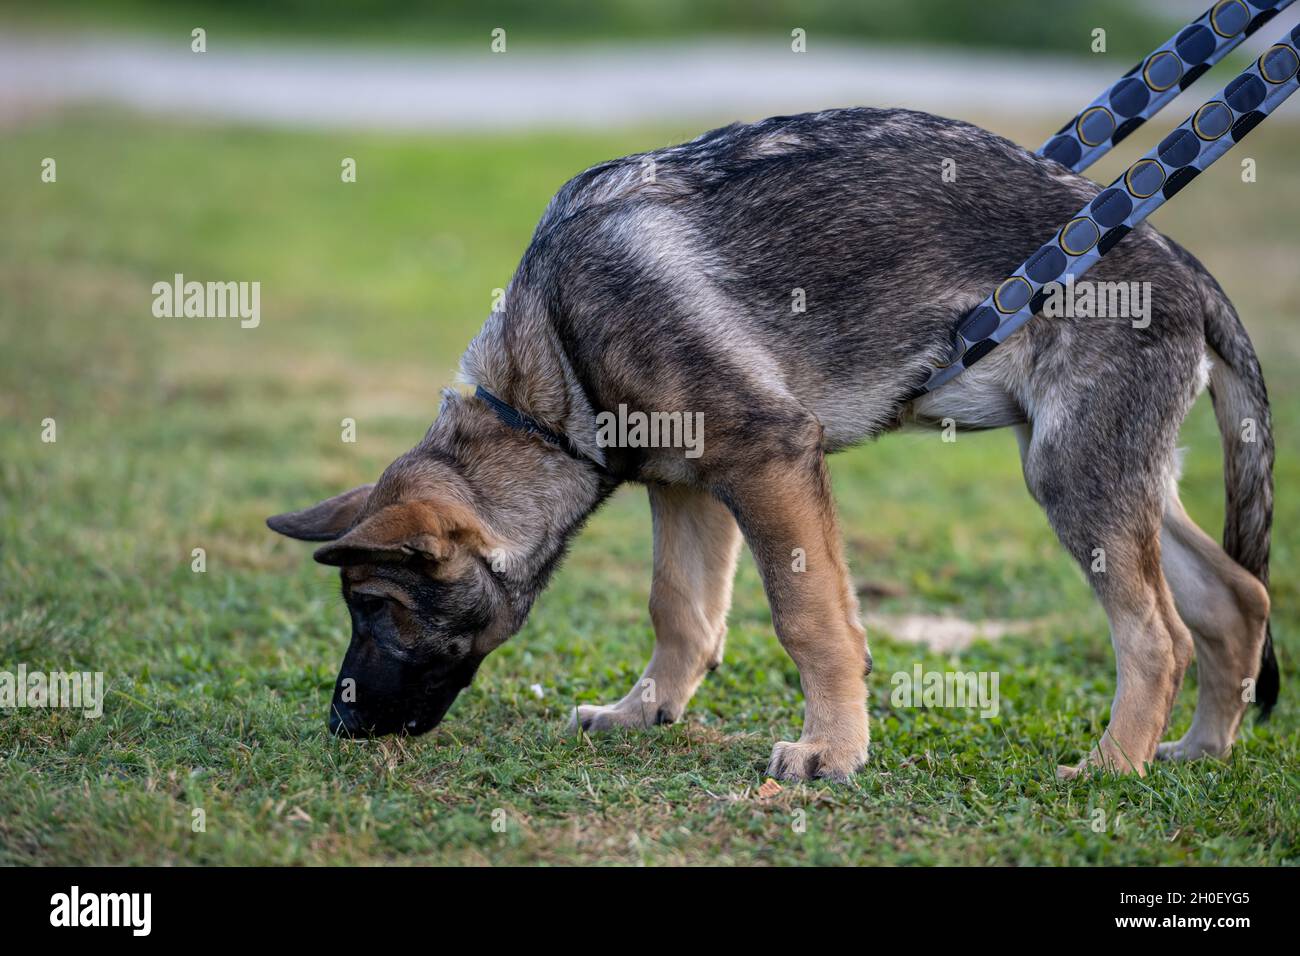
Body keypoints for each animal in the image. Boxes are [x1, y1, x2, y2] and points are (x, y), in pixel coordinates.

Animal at [269, 110, 1274, 785]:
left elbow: (809, 618)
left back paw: (1111, 766)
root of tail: (1188, 268)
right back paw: (1199, 752)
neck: (552, 367)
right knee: (1236, 596)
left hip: (1070, 475)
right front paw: (647, 712)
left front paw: (832, 751)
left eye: (373, 606)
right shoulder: (687, 486)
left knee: (1157, 635)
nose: (337, 729)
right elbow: (680, 610)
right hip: (1114, 475)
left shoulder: (771, 463)